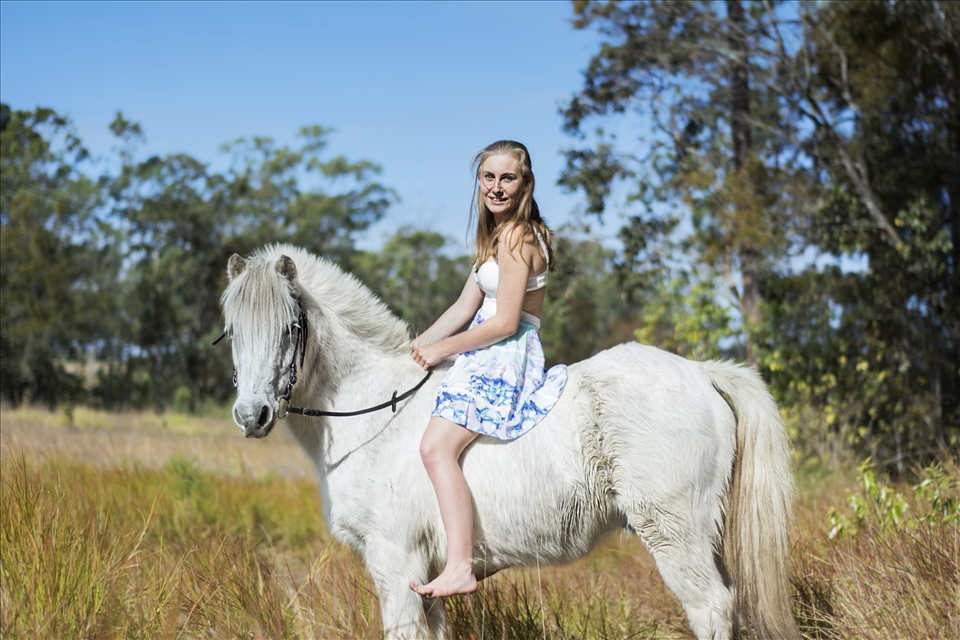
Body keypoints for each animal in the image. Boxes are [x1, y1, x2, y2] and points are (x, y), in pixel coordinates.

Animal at [219, 244, 798, 640]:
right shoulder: (423, 581)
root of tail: (700, 372)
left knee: (711, 608)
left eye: (291, 328)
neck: (374, 409)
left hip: (674, 535)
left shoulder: (395, 561)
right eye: (232, 333)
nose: (251, 415)